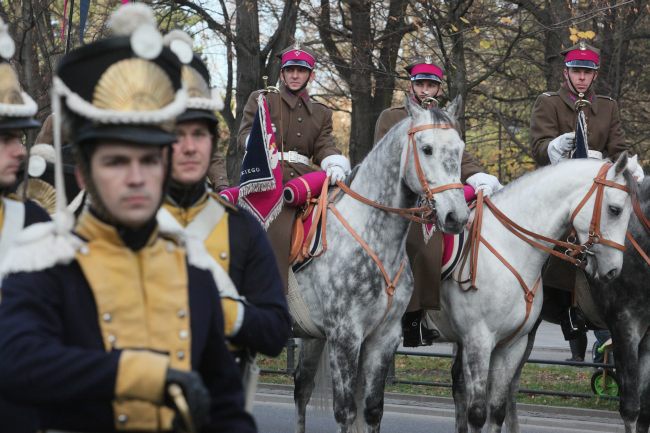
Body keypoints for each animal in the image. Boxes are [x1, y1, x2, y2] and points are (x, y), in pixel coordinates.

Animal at [292, 96, 468, 430]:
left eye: (460, 148)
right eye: (427, 148)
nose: (457, 217)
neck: (372, 236)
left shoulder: (382, 338)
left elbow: (372, 409)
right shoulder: (344, 336)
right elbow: (346, 411)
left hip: (309, 334)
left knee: (301, 388)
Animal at [422, 155, 636, 432]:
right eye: (615, 210)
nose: (613, 270)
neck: (509, 246)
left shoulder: (512, 345)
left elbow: (497, 410)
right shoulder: (478, 341)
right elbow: (478, 413)